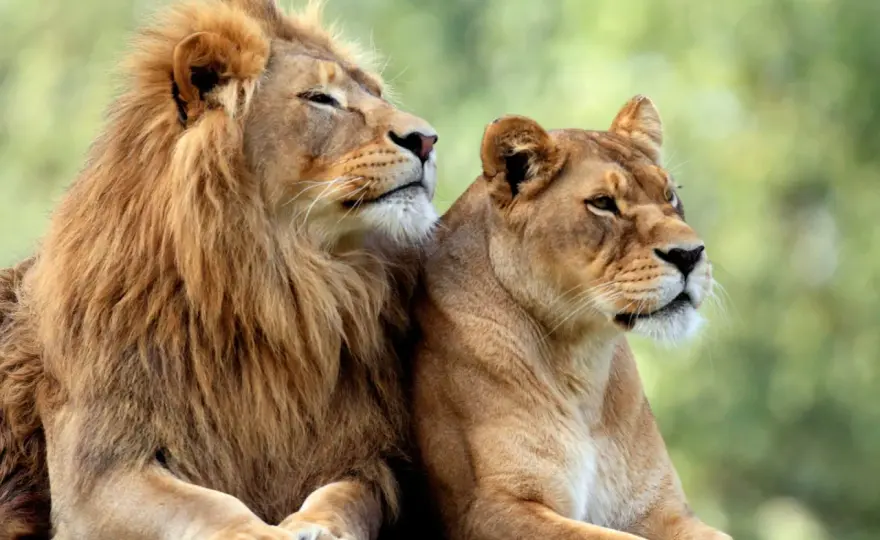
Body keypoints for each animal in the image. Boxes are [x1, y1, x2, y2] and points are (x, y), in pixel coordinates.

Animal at [0, 0, 440, 538]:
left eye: (376, 93)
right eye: (321, 99)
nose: (427, 140)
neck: (278, 288)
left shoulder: (366, 455)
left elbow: (346, 496)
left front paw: (317, 525)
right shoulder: (97, 473)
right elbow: (207, 506)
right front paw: (265, 533)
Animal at [411, 96, 732, 540]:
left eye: (670, 195)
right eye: (603, 203)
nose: (690, 254)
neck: (583, 364)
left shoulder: (661, 509)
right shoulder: (488, 509)